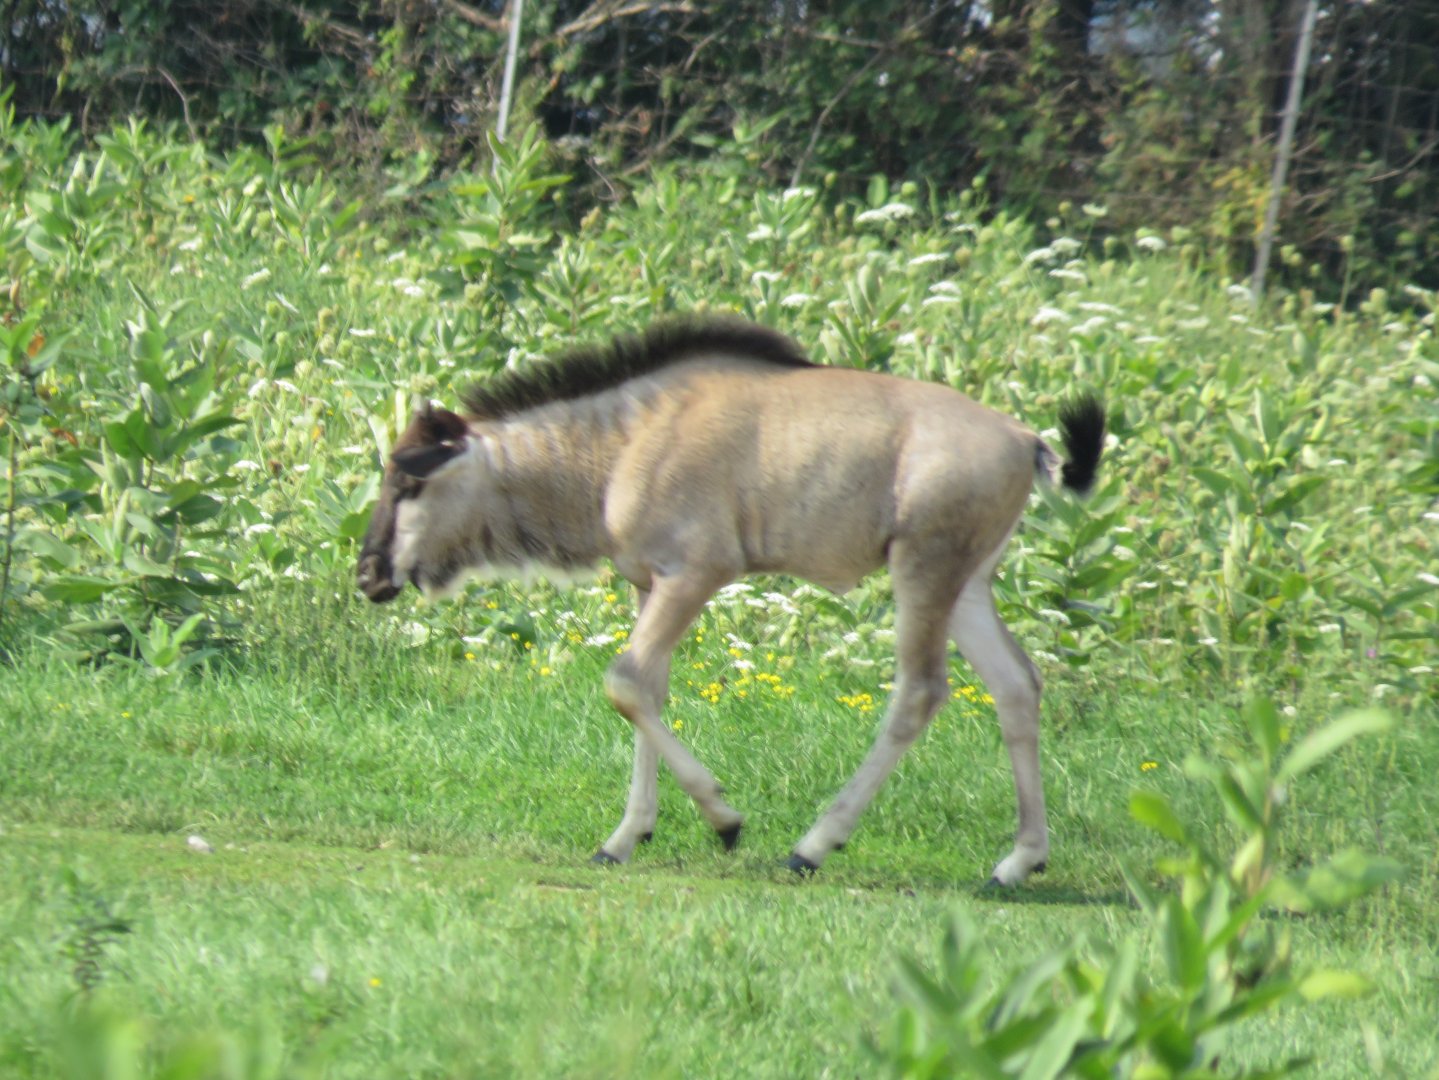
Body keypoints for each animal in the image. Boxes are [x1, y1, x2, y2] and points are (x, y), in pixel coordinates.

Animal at [357, 318, 1105, 885]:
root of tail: (1026, 441)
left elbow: (623, 683)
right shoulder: (648, 584)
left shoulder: (695, 573)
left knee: (919, 691)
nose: (368, 575)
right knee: (1016, 685)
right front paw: (625, 838)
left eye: (409, 482)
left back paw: (812, 847)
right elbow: (646, 691)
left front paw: (724, 820)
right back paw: (1018, 861)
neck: (622, 442)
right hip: (967, 585)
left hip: (923, 569)